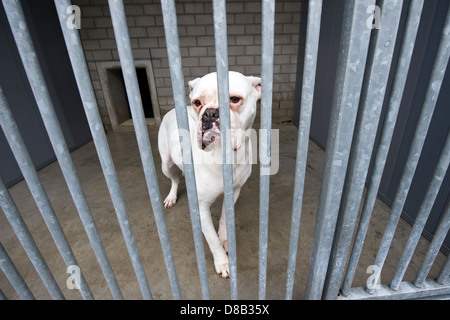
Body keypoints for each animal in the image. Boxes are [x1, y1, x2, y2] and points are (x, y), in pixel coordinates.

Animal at [158, 71, 262, 276]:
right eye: (197, 102)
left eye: (234, 99)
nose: (210, 113)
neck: (222, 156)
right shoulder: (202, 208)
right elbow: (212, 239)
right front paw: (222, 262)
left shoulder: (234, 191)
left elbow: (223, 220)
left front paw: (225, 239)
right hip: (166, 164)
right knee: (174, 179)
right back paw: (171, 196)